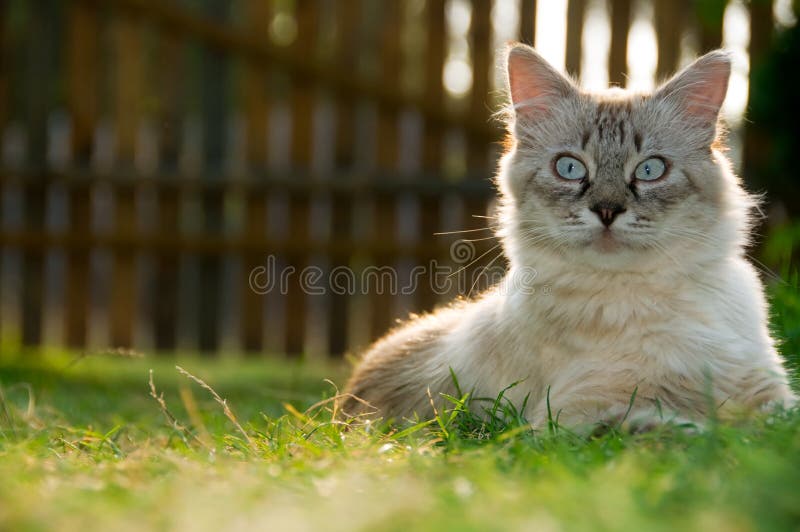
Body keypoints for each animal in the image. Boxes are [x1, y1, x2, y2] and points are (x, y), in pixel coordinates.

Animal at [342, 42, 792, 432]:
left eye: (650, 170)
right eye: (570, 168)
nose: (607, 211)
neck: (642, 297)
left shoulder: (767, 390)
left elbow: (778, 423)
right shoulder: (577, 414)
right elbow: (681, 432)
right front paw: (714, 436)